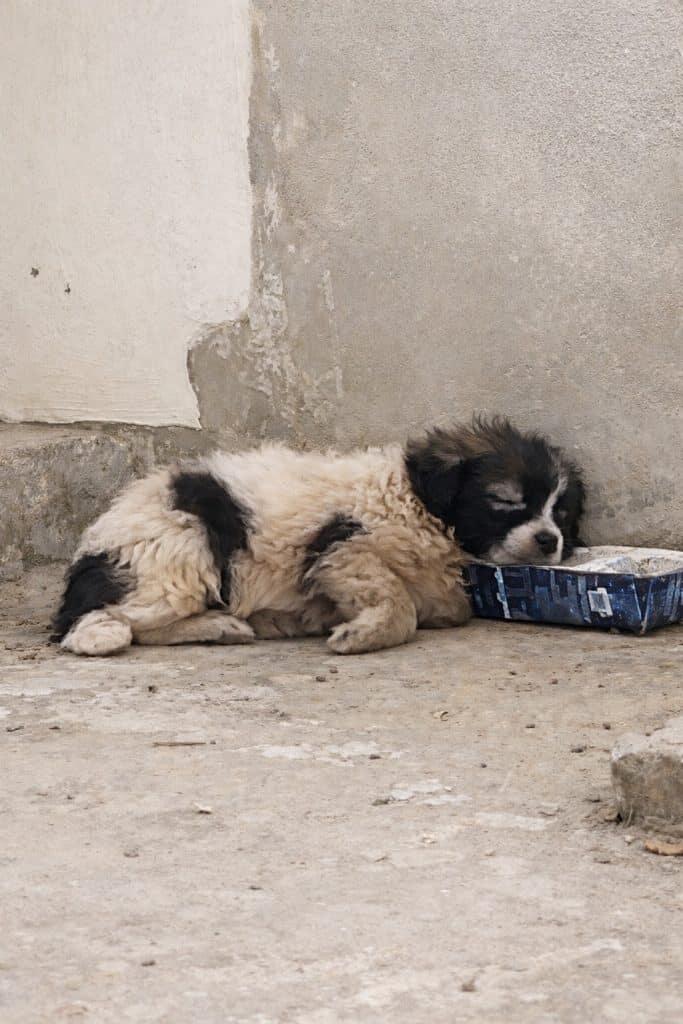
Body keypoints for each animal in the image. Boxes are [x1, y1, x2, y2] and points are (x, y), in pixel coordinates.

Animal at [52, 416, 585, 656]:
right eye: (507, 501)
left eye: (560, 512)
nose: (548, 541)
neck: (417, 501)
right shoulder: (344, 545)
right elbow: (399, 603)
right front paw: (363, 633)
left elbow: (447, 605)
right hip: (182, 553)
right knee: (104, 624)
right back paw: (212, 626)